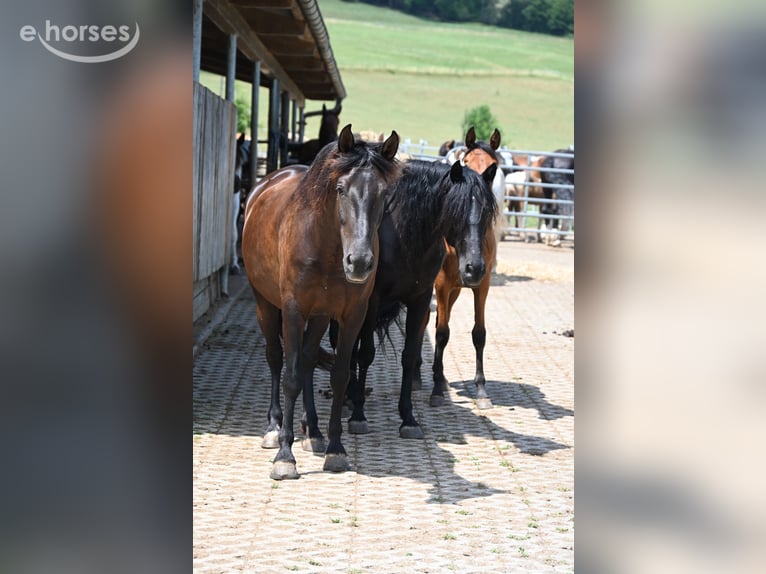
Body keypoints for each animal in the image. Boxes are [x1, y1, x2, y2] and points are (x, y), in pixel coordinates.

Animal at [241, 124, 400, 479]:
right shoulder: (293, 311)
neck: (326, 245)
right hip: (265, 305)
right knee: (276, 358)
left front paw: (335, 449)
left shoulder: (351, 315)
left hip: (320, 316)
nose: (359, 262)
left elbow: (340, 375)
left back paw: (313, 432)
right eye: (341, 189)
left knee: (309, 360)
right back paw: (274, 428)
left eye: (384, 193)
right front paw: (285, 456)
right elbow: (290, 377)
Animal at [340, 159, 498, 439]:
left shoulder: (421, 299)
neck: (404, 237)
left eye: (488, 213)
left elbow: (410, 353)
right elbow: (366, 353)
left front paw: (408, 418)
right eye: (455, 211)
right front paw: (358, 415)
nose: (475, 268)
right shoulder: (373, 301)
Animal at [430, 127, 503, 410]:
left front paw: (481, 390)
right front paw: (436, 389)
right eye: (468, 161)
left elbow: (478, 334)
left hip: (456, 291)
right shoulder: (440, 285)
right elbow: (441, 333)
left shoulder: (481, 285)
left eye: (494, 166)